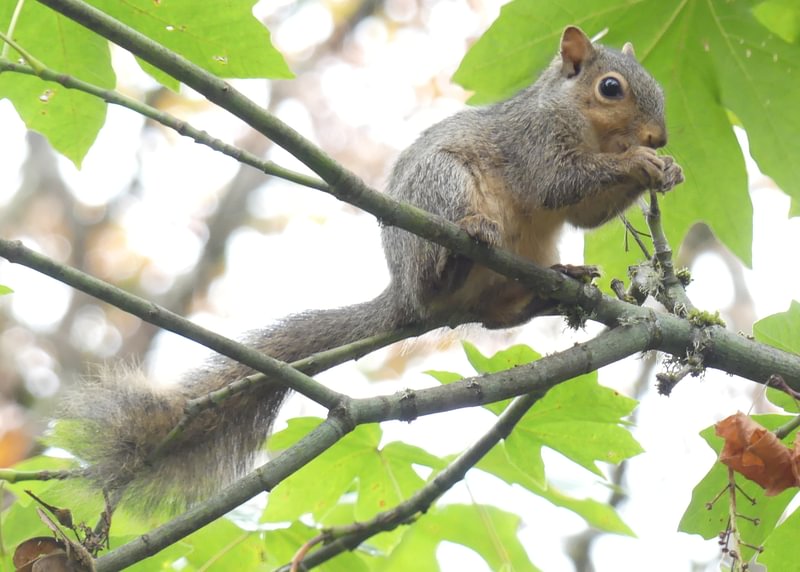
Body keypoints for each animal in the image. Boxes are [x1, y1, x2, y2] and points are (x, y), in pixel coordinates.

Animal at [57, 26, 683, 513]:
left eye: (660, 88)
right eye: (610, 87)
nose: (660, 136)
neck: (579, 120)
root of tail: (402, 291)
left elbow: (585, 212)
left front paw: (664, 168)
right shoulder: (533, 144)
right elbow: (558, 182)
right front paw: (640, 161)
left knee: (497, 316)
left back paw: (559, 284)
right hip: (441, 187)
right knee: (449, 279)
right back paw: (466, 250)